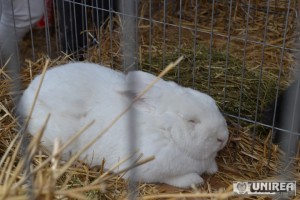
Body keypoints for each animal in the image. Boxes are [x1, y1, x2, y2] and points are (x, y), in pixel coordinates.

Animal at [17, 62, 229, 188]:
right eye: (191, 121)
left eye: (211, 102)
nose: (223, 138)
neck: (163, 130)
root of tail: (29, 91)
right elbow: (173, 178)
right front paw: (195, 180)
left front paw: (212, 168)